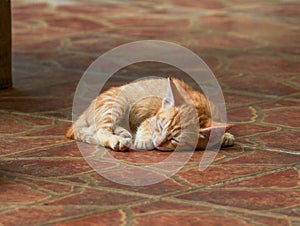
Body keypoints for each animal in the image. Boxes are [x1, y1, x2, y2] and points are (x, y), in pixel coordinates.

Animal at [66, 77, 234, 151]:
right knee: (99, 131)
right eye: (159, 126)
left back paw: (123, 133)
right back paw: (117, 140)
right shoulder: (150, 118)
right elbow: (145, 125)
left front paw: (225, 135)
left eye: (175, 139)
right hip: (117, 103)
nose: (158, 143)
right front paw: (144, 140)